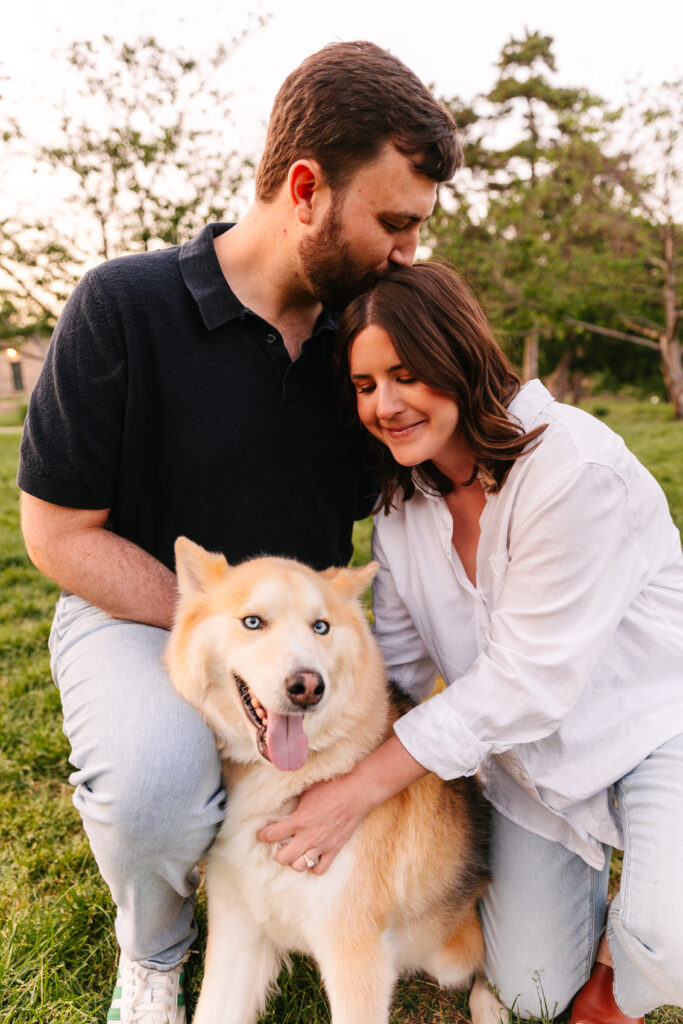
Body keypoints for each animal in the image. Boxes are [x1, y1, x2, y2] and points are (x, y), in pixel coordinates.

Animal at [167, 537, 502, 1024]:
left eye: (320, 627)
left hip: (450, 954)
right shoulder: (237, 932)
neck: (289, 784)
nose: (308, 686)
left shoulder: (353, 951)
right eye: (253, 622)